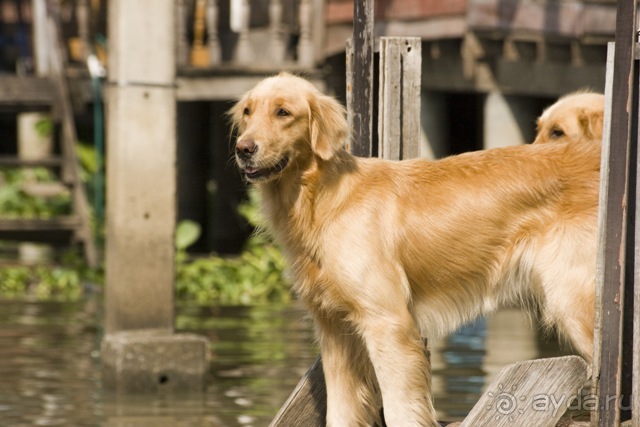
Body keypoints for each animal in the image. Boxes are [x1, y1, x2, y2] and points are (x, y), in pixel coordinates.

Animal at [230, 73, 600, 427]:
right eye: (248, 111)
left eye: (283, 112)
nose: (243, 148)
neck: (322, 198)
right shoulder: (335, 330)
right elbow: (341, 411)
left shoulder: (388, 323)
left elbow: (401, 409)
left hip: (572, 301)